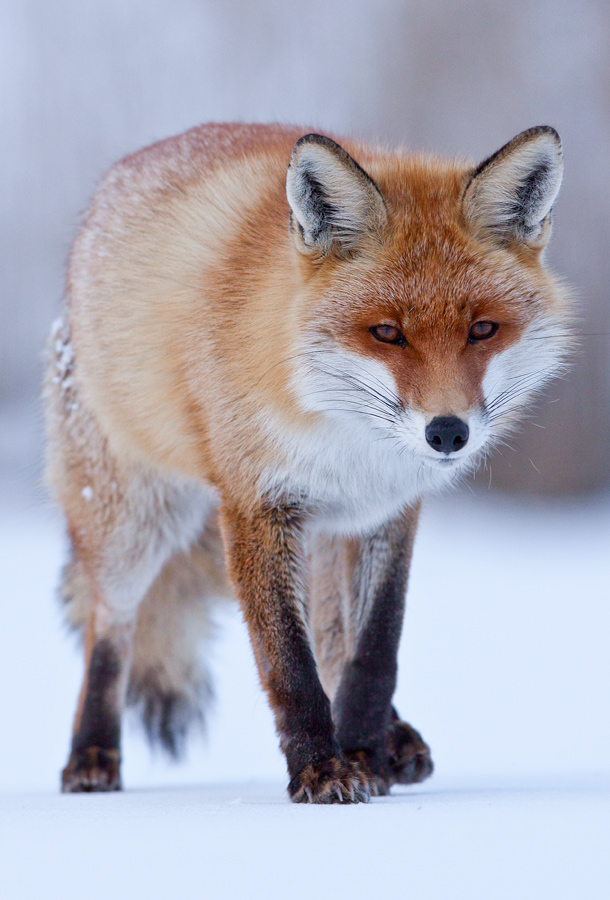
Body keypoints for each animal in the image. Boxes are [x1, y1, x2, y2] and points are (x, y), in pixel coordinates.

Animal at [44, 122, 571, 802]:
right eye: (386, 333)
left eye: (483, 329)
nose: (447, 433)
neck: (348, 441)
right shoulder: (255, 505)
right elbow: (289, 663)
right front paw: (323, 771)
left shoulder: (388, 510)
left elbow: (373, 649)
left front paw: (365, 752)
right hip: (135, 525)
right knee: (107, 625)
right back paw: (91, 757)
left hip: (319, 536)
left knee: (331, 632)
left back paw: (394, 741)